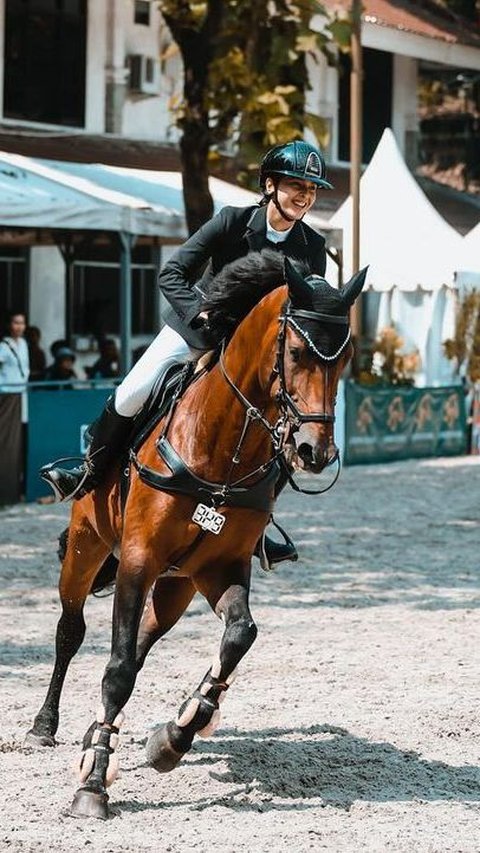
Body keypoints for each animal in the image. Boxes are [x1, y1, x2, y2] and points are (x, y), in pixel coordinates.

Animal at [25, 251, 364, 820]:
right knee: (71, 630)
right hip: (88, 547)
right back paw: (45, 727)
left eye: (346, 360)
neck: (222, 449)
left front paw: (178, 732)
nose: (314, 452)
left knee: (144, 638)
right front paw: (93, 784)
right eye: (296, 352)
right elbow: (116, 668)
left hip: (176, 584)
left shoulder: (220, 566)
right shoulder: (138, 558)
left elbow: (239, 635)